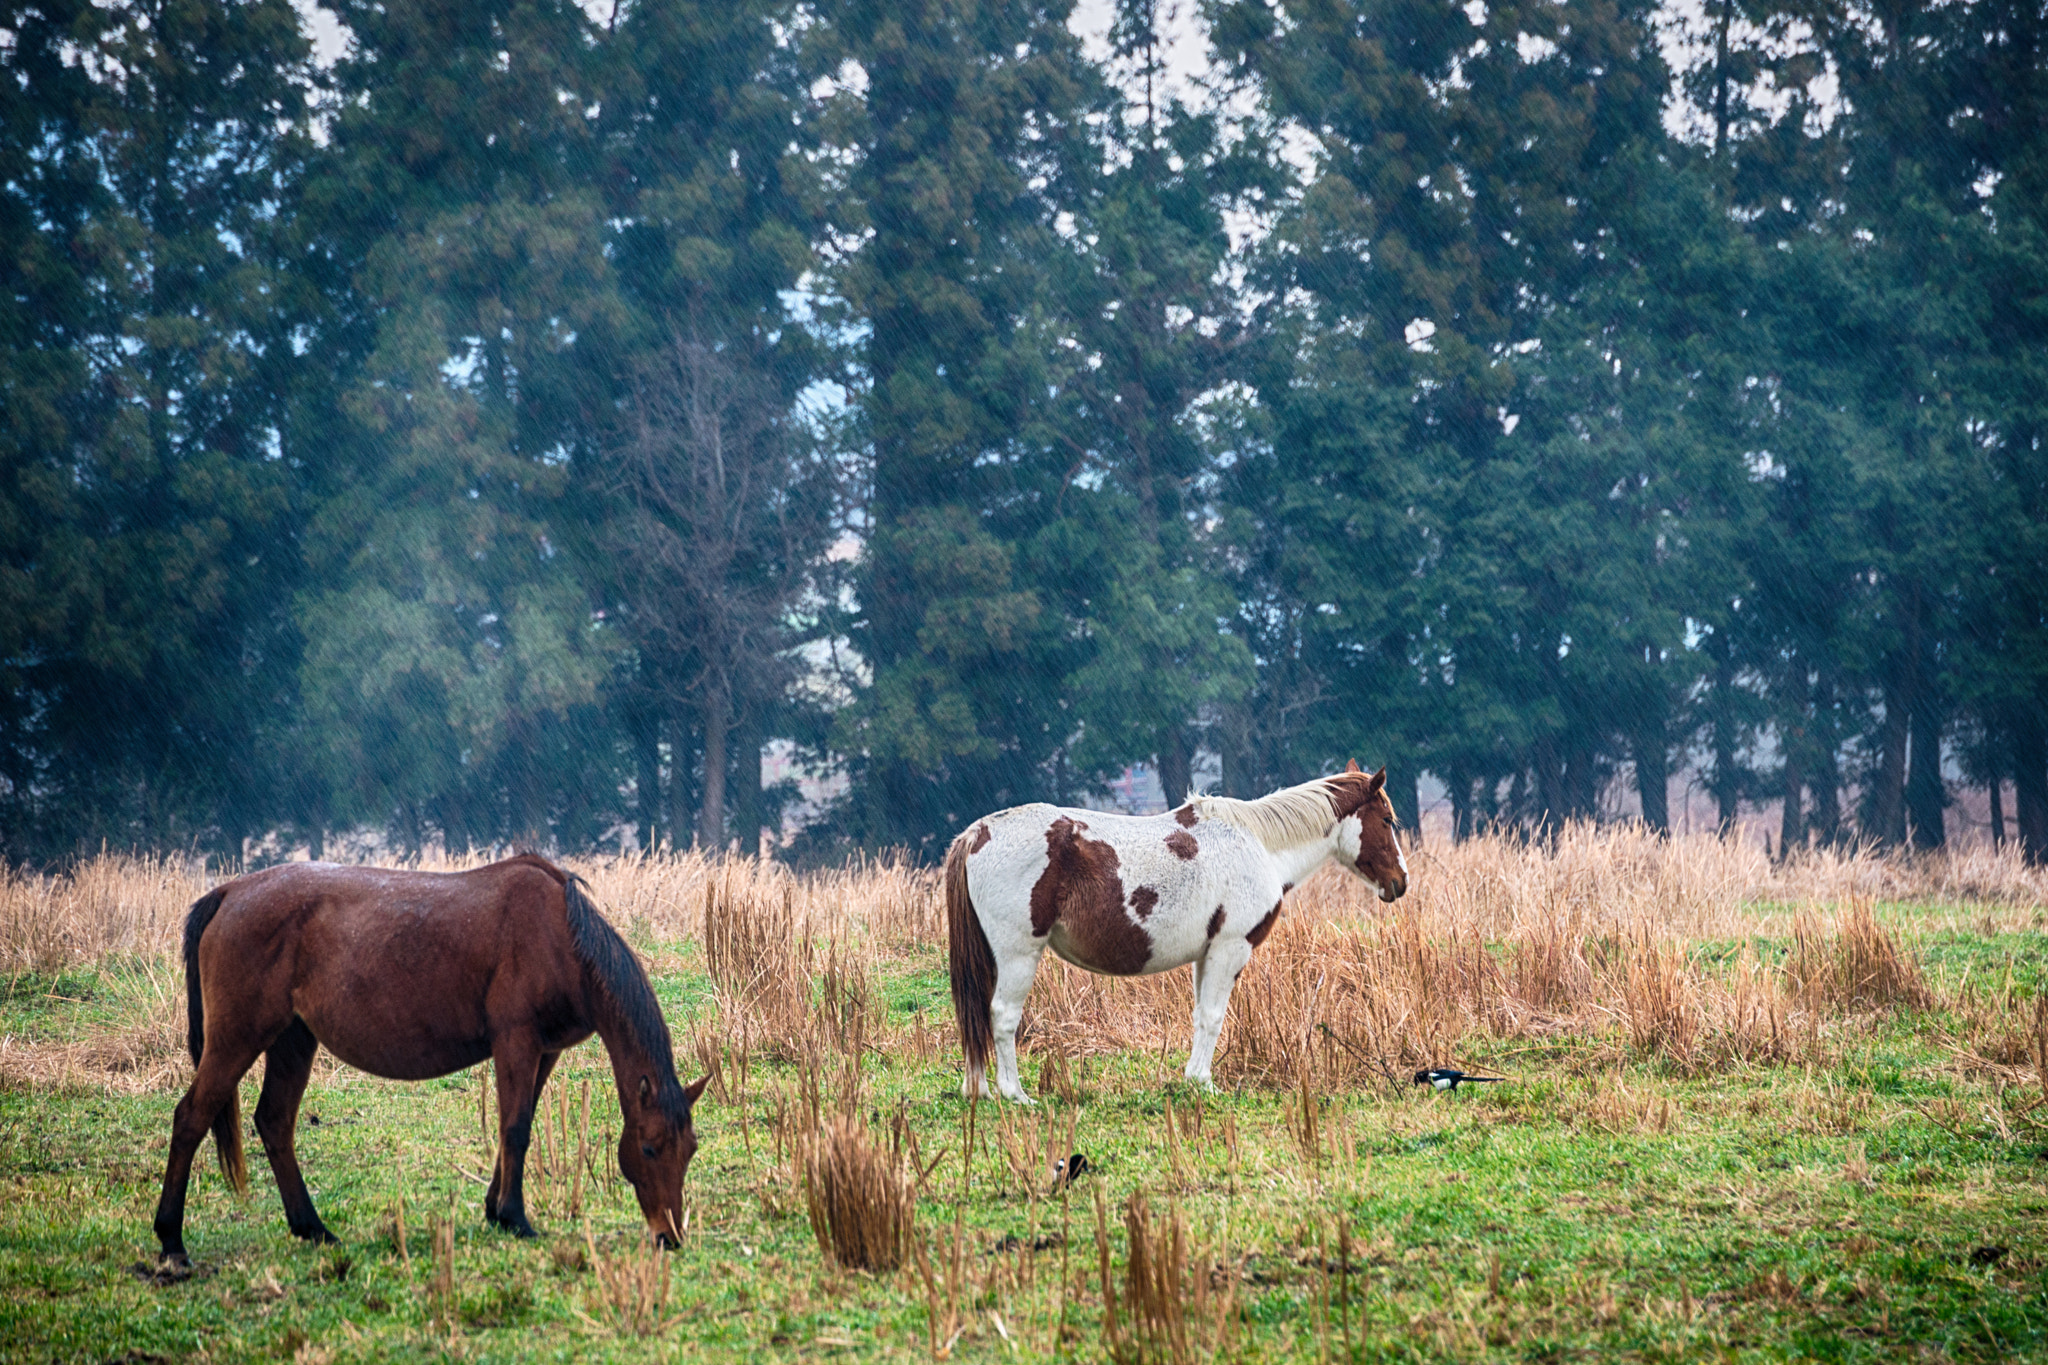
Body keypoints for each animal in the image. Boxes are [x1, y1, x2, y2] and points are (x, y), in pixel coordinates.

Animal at [151, 854, 707, 1267]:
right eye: (650, 1148)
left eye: (691, 1150)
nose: (670, 1236)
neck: (560, 935)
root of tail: (229, 893)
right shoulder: (517, 1041)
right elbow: (515, 1128)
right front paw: (515, 1218)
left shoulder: (543, 1051)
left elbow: (518, 1123)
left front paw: (495, 1210)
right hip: (237, 1039)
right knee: (192, 1118)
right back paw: (172, 1240)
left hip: (293, 1039)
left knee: (274, 1122)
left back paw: (312, 1228)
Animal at [947, 762, 1408, 1102]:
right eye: (1387, 820)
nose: (1400, 883)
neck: (1259, 844)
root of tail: (977, 833)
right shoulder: (1230, 949)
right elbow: (1214, 1016)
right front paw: (1204, 1083)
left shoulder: (1207, 955)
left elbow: (1201, 1016)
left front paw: (1193, 1079)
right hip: (1017, 956)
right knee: (1002, 1016)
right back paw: (1015, 1094)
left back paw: (979, 1089)